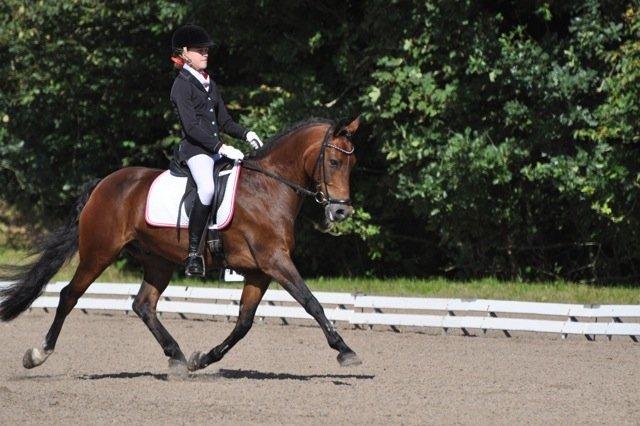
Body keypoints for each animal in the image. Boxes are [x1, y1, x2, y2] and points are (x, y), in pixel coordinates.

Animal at [0, 117, 362, 372]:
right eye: (333, 162)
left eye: (352, 164)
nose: (341, 211)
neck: (268, 188)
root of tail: (103, 184)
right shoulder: (275, 261)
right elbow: (311, 302)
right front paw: (346, 351)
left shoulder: (260, 271)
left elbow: (244, 323)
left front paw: (203, 359)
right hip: (99, 253)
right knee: (69, 295)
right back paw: (38, 354)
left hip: (158, 261)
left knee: (143, 305)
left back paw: (177, 356)